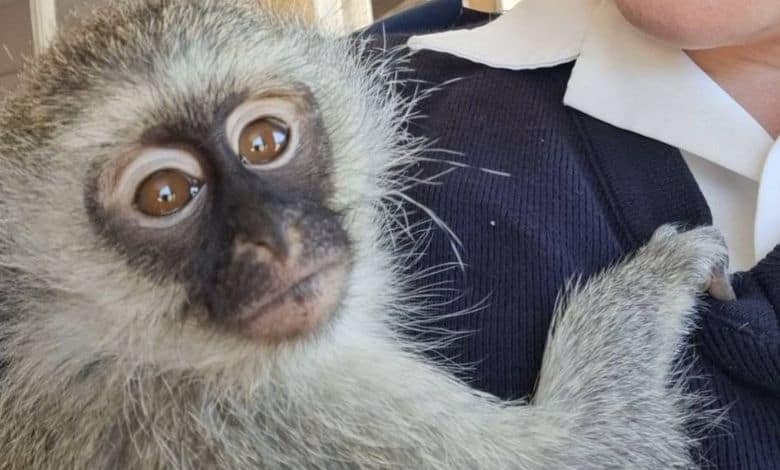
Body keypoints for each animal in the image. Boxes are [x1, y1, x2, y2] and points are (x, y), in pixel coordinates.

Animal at [0, 0, 735, 468]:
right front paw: (659, 280)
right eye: (165, 195)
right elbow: (590, 452)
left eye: (264, 141)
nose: (276, 239)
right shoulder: (275, 419)